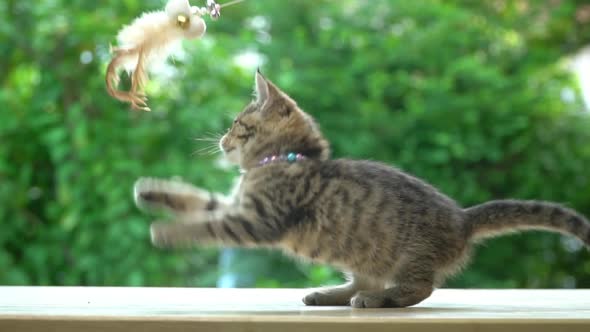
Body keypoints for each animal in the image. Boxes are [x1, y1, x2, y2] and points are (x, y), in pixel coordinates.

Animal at [134, 70, 590, 308]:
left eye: (238, 125)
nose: (223, 141)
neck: (285, 159)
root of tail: (463, 219)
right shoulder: (235, 203)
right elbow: (199, 201)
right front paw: (153, 192)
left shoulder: (259, 219)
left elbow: (208, 226)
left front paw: (167, 232)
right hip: (361, 253)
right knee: (363, 281)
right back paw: (332, 294)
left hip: (409, 256)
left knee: (420, 289)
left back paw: (379, 300)